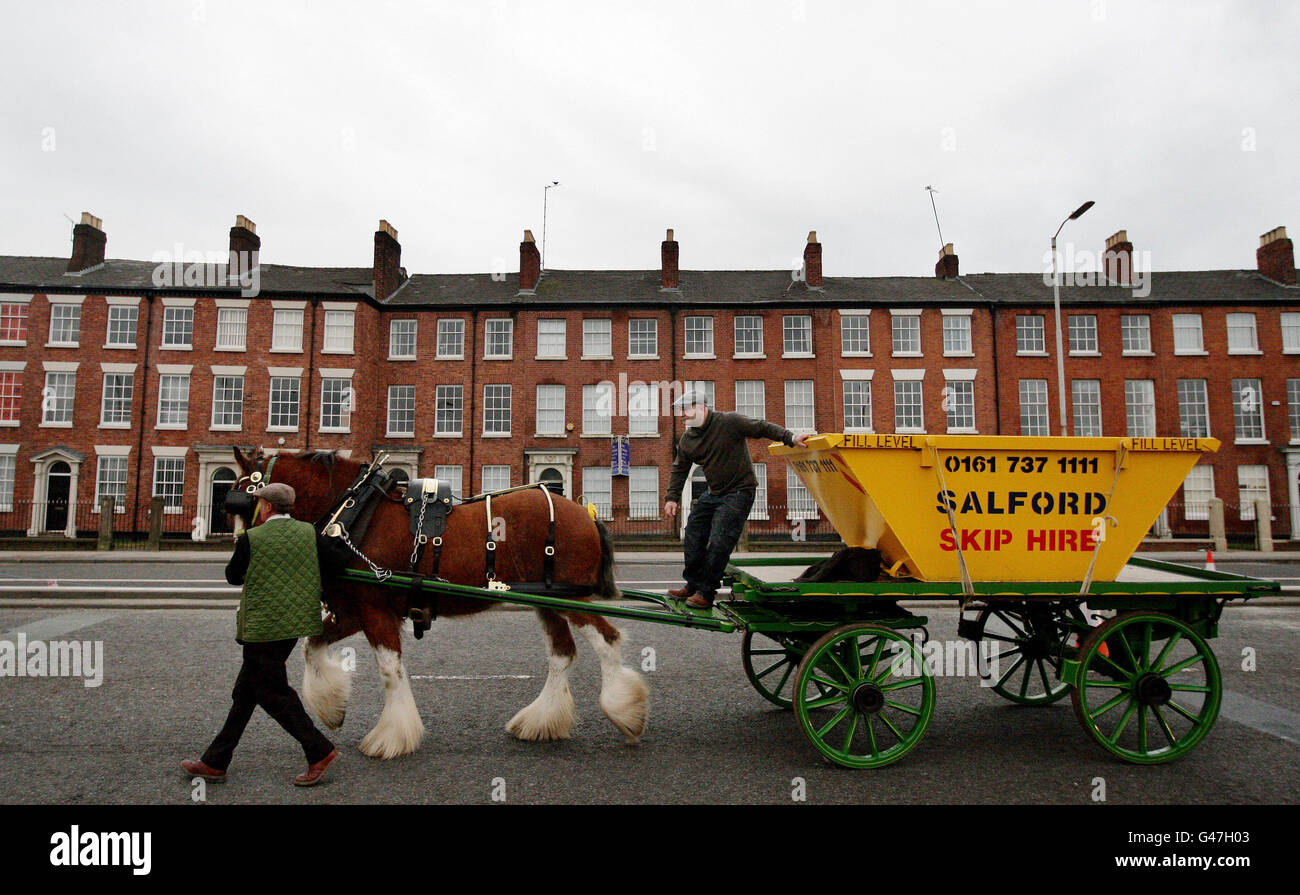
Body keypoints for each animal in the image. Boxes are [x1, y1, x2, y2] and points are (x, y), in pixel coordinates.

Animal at [227, 444, 650, 759]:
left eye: (238, 501)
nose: (235, 566)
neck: (354, 512)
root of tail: (586, 513)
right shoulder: (355, 610)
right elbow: (312, 647)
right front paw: (332, 708)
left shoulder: (376, 612)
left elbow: (389, 670)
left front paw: (392, 736)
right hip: (546, 598)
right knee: (562, 654)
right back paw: (541, 720)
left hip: (573, 599)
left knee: (607, 641)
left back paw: (624, 712)